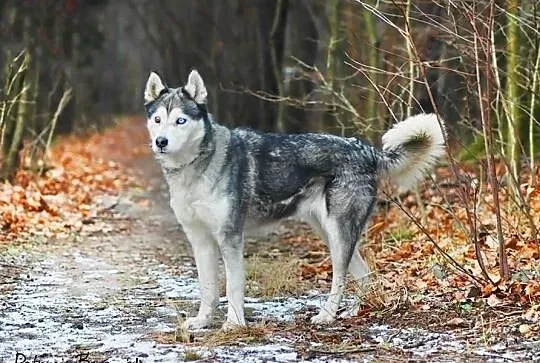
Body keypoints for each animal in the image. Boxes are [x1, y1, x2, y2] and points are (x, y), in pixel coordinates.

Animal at [142, 69, 442, 332]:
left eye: (180, 120)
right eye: (157, 119)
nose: (161, 142)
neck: (196, 166)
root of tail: (366, 149)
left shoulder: (230, 238)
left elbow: (233, 286)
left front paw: (234, 324)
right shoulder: (200, 240)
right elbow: (207, 289)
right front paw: (203, 322)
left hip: (338, 234)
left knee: (340, 278)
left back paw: (327, 316)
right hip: (330, 233)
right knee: (364, 274)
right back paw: (355, 310)